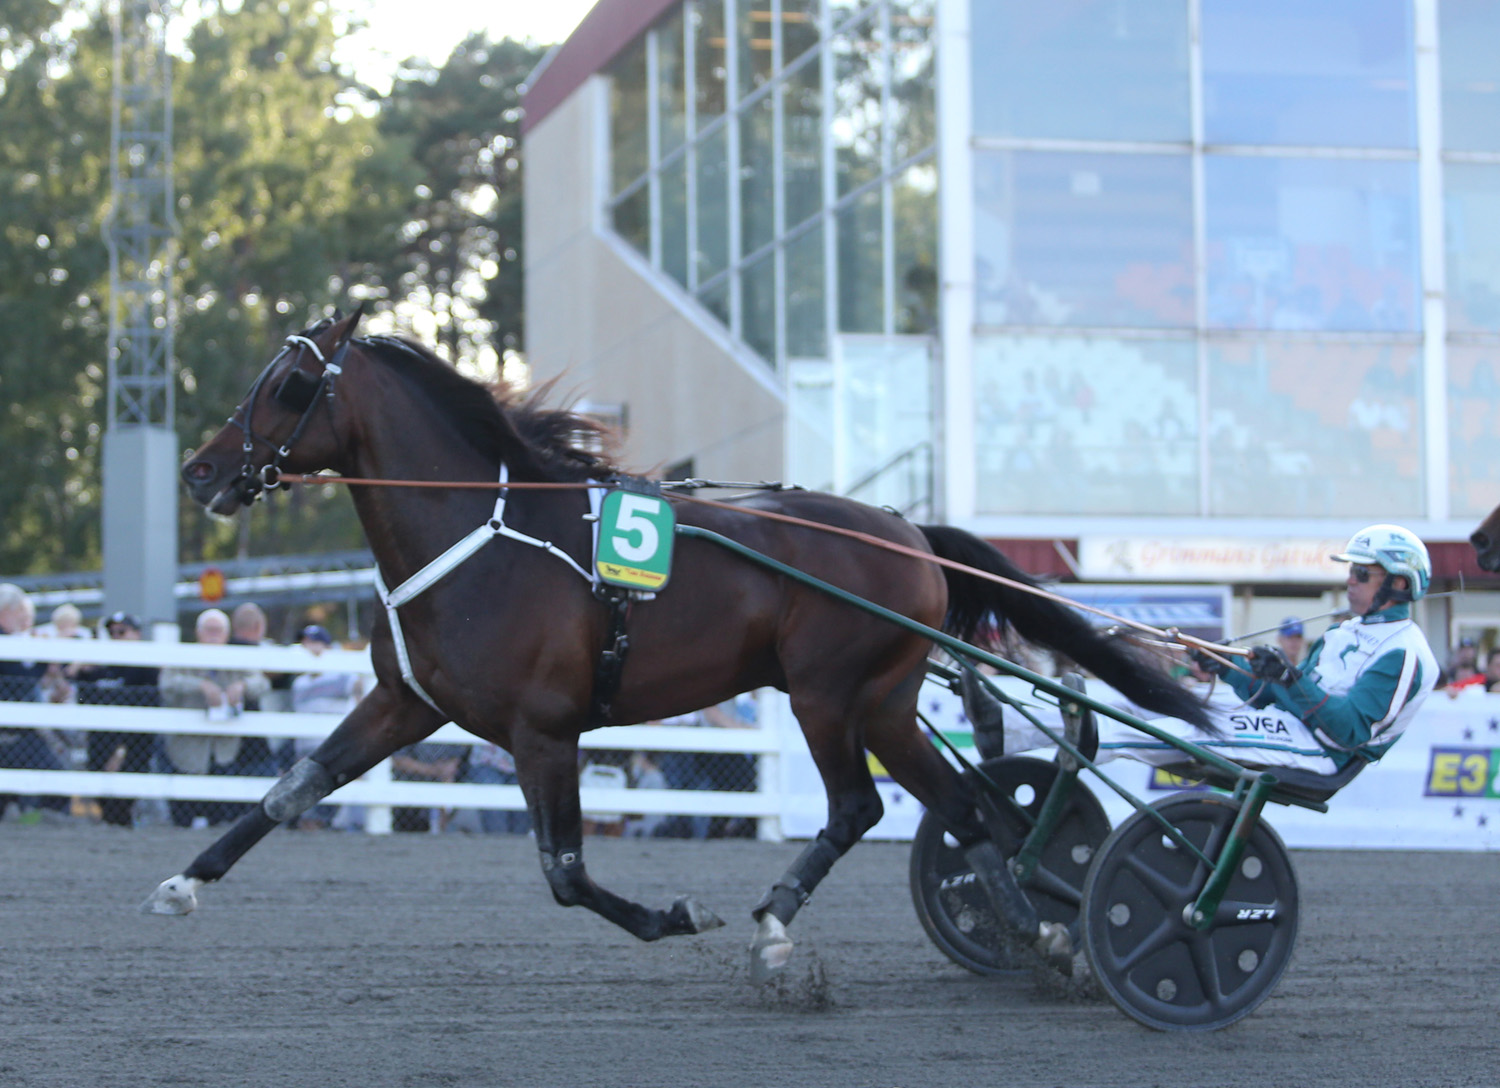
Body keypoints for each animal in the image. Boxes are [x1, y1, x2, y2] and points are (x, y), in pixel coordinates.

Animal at [149, 309, 1206, 978]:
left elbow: (566, 873)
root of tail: (907, 532)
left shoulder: (544, 732)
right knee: (965, 807)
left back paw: (788, 926)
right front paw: (181, 884)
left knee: (865, 805)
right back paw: (1033, 932)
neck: (482, 535)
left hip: (828, 696)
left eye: (288, 385)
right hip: (884, 705)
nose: (200, 471)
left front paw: (675, 914)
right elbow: (289, 792)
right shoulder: (405, 703)